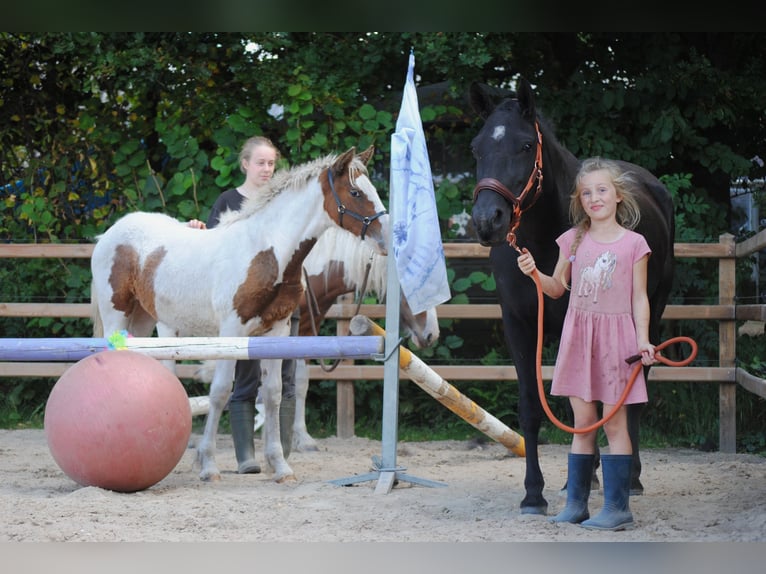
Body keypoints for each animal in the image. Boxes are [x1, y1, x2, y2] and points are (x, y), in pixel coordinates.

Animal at [90, 146, 389, 483]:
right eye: (355, 192)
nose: (386, 239)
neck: (265, 251)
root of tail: (109, 234)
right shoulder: (231, 330)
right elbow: (221, 392)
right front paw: (208, 465)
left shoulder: (278, 330)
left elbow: (273, 394)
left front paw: (279, 465)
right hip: (117, 315)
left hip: (144, 320)